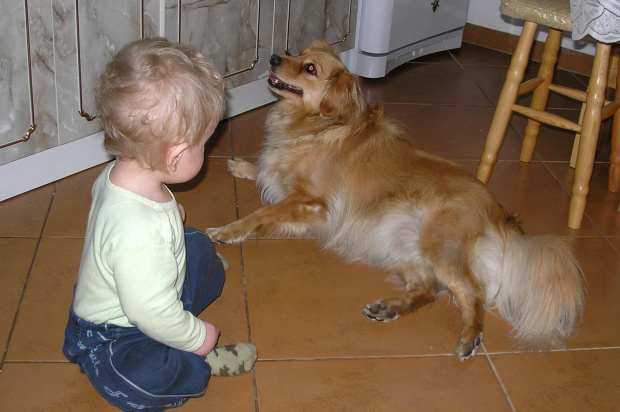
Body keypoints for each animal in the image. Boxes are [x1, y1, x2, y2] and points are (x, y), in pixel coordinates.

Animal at [207, 41, 588, 360]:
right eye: (295, 53)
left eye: (309, 68)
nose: (272, 58)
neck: (319, 125)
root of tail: (499, 212)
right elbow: (263, 169)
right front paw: (241, 165)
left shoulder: (316, 204)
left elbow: (262, 212)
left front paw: (227, 229)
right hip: (399, 243)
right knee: (428, 290)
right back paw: (389, 308)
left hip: (438, 244)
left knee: (472, 292)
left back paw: (470, 337)